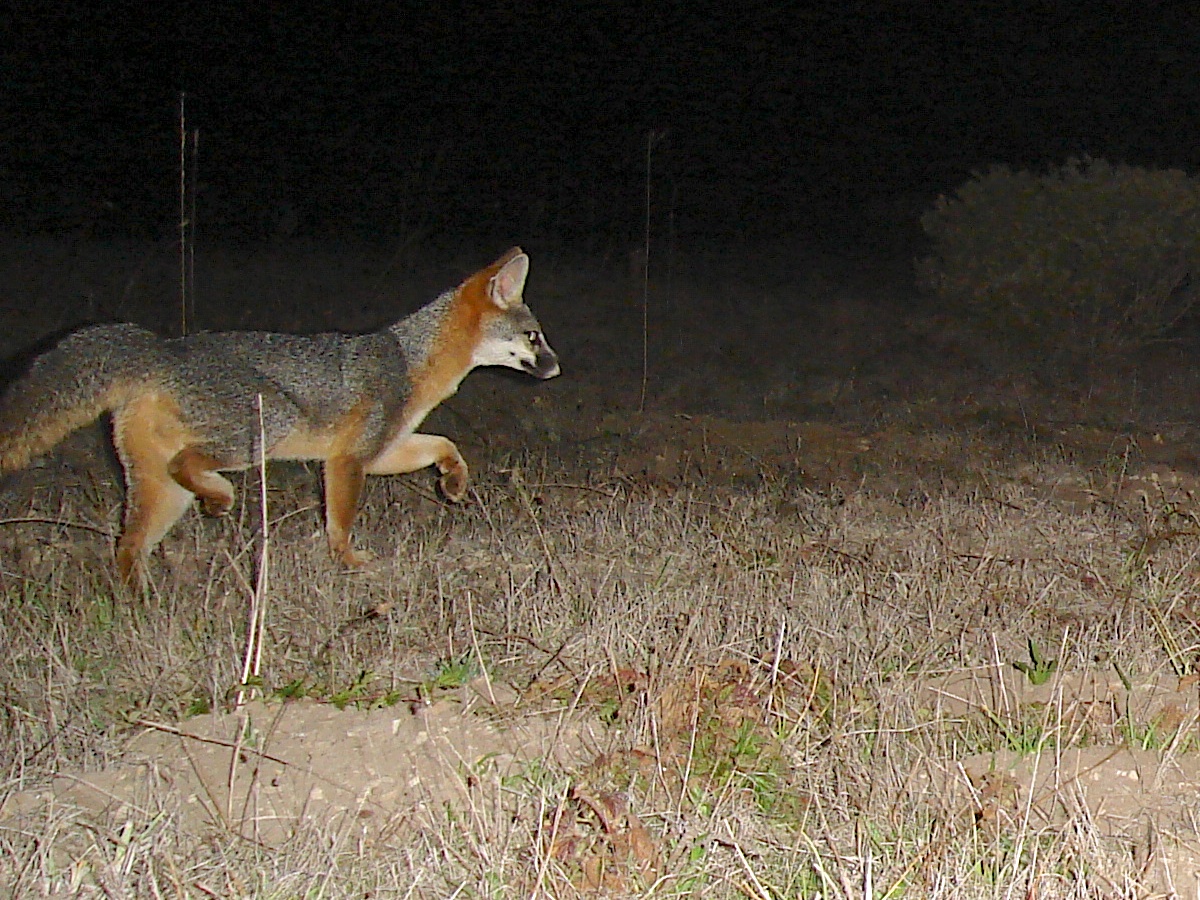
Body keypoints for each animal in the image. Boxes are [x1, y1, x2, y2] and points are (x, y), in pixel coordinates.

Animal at [0, 247, 559, 584]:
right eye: (534, 337)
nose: (556, 367)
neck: (410, 359)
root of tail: (161, 348)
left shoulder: (380, 449)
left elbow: (445, 444)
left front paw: (453, 481)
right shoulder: (348, 460)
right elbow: (339, 523)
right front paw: (350, 562)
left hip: (163, 494)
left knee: (127, 546)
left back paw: (141, 607)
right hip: (264, 431)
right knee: (187, 465)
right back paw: (220, 498)